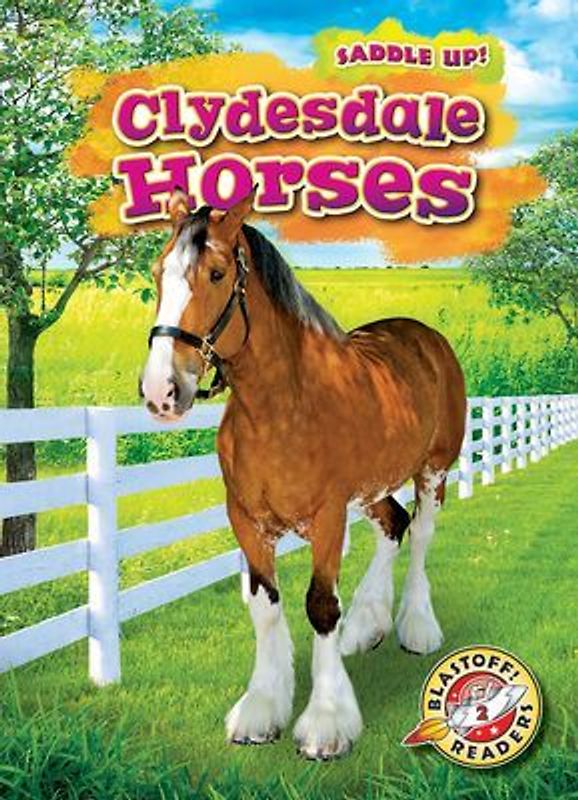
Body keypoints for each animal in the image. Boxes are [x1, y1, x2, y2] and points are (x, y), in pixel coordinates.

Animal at [140, 189, 466, 760]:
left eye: (217, 274)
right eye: (160, 272)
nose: (162, 390)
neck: (282, 408)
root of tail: (423, 334)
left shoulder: (328, 516)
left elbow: (319, 606)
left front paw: (327, 722)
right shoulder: (246, 520)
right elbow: (264, 605)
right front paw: (261, 708)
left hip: (432, 471)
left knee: (421, 533)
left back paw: (416, 627)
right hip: (372, 487)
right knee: (393, 524)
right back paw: (367, 622)